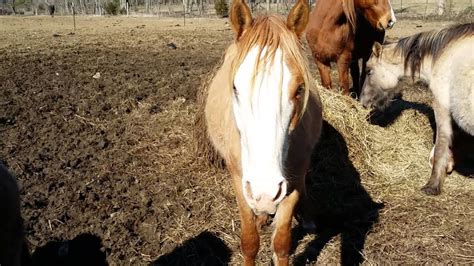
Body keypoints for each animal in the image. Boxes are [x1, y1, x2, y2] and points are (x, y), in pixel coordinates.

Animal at [195, 0, 322, 264]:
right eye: (235, 87)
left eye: (300, 89)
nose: (266, 191)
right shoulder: (240, 181)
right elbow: (250, 241)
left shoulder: (292, 182)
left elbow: (282, 243)